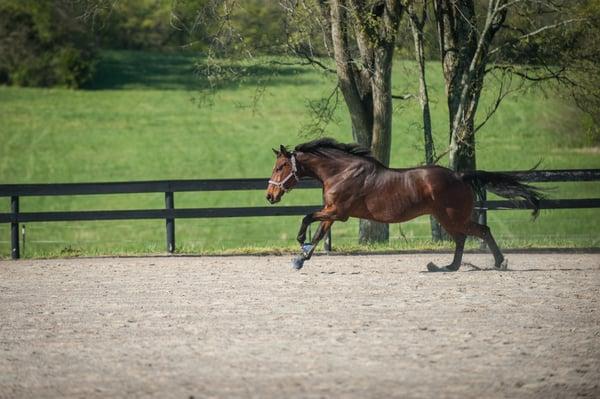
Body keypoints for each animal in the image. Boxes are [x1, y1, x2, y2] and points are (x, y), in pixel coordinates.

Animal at [268, 138, 544, 272]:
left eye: (281, 166)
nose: (270, 196)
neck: (341, 172)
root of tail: (459, 176)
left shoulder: (337, 212)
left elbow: (306, 218)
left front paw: (299, 243)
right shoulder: (332, 213)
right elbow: (318, 235)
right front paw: (300, 259)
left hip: (452, 216)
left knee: (480, 232)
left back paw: (498, 263)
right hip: (446, 218)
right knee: (462, 238)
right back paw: (447, 267)